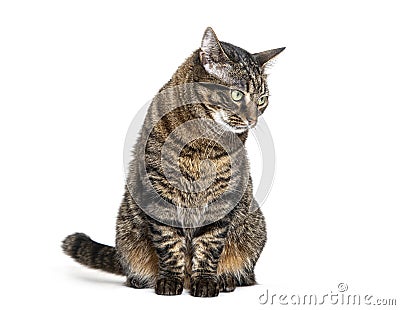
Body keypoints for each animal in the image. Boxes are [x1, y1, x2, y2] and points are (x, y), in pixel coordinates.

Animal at [62, 27, 284, 296]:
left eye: (262, 100)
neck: (203, 143)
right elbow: (169, 245)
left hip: (254, 226)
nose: (253, 120)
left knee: (247, 274)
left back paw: (227, 279)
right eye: (237, 94)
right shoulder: (159, 191)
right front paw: (169, 280)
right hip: (126, 232)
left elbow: (209, 244)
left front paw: (206, 281)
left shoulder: (223, 197)